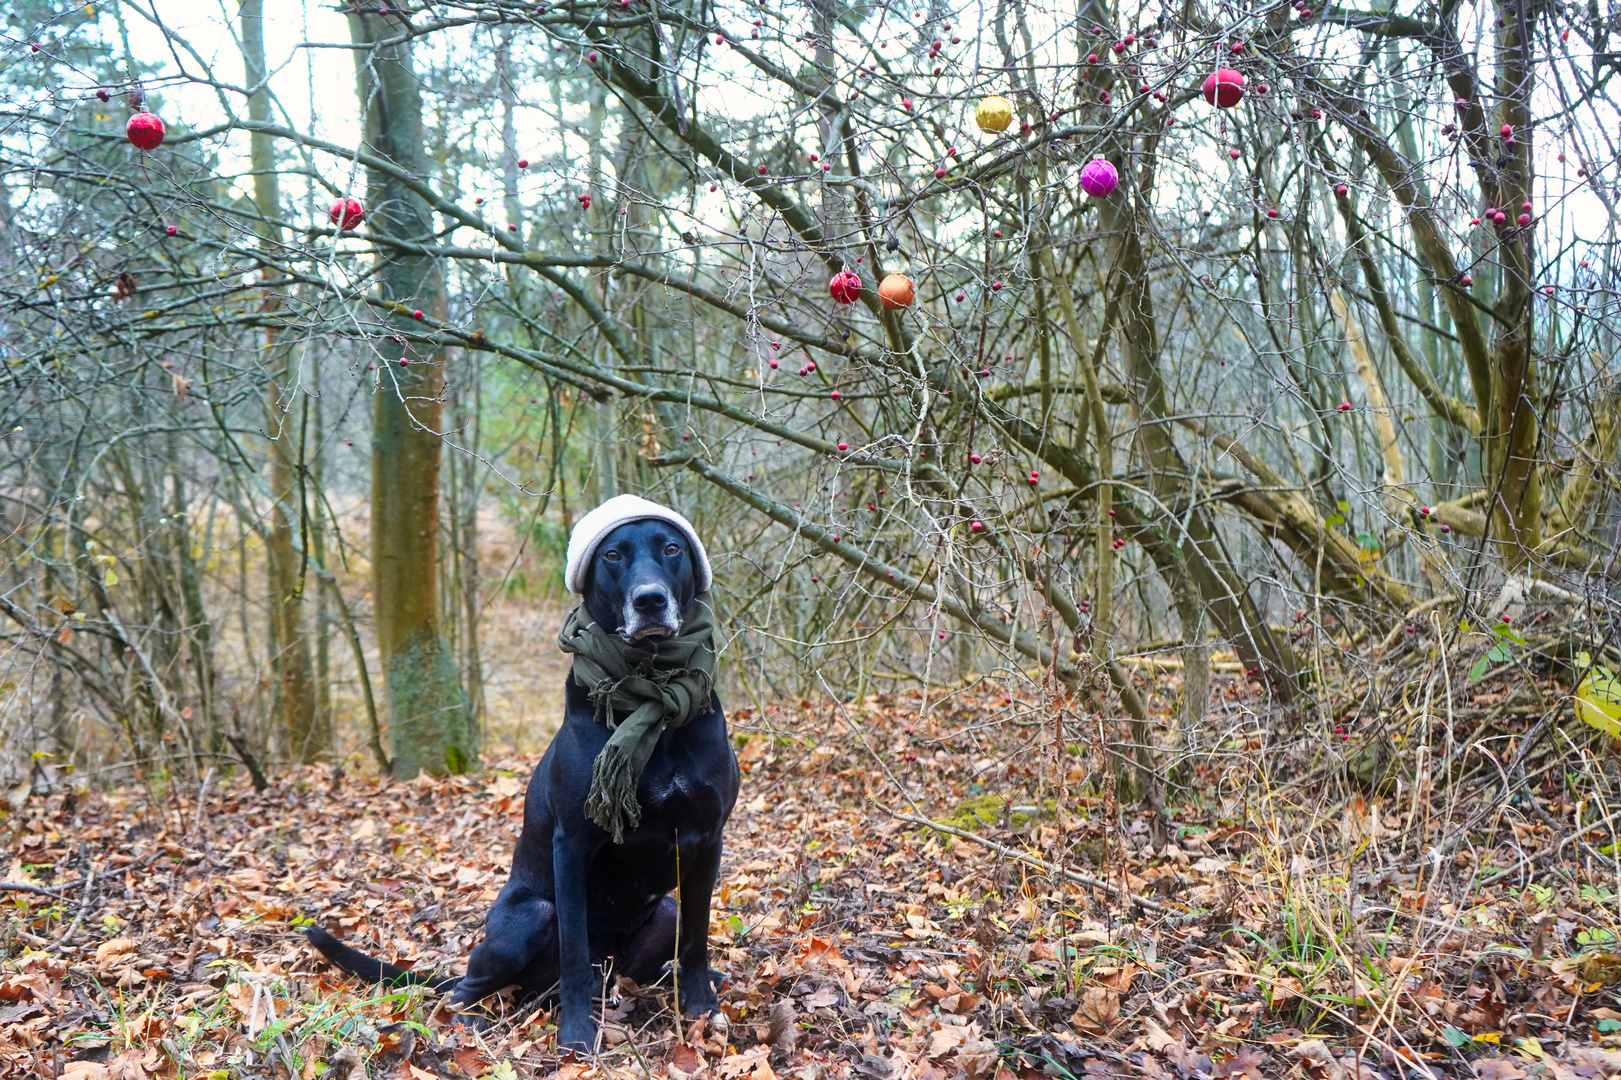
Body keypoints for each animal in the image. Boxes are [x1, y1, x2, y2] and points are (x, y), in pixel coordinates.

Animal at [304, 518, 742, 1044]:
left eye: (672, 549)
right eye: (613, 555)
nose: (650, 600)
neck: (653, 698)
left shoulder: (708, 836)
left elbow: (698, 934)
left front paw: (702, 1006)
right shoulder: (571, 845)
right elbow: (573, 949)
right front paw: (576, 1033)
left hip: (661, 914)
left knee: (646, 961)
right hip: (528, 918)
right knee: (467, 987)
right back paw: (471, 1019)